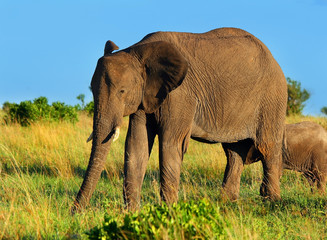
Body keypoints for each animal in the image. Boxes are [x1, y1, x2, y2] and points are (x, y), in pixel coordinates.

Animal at [71, 27, 288, 213]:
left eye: (122, 91)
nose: (75, 213)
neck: (137, 51)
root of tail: (273, 58)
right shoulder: (144, 98)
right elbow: (136, 144)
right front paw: (131, 213)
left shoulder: (180, 95)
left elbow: (170, 143)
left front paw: (169, 211)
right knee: (234, 152)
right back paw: (227, 202)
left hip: (272, 98)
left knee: (267, 146)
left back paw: (272, 201)